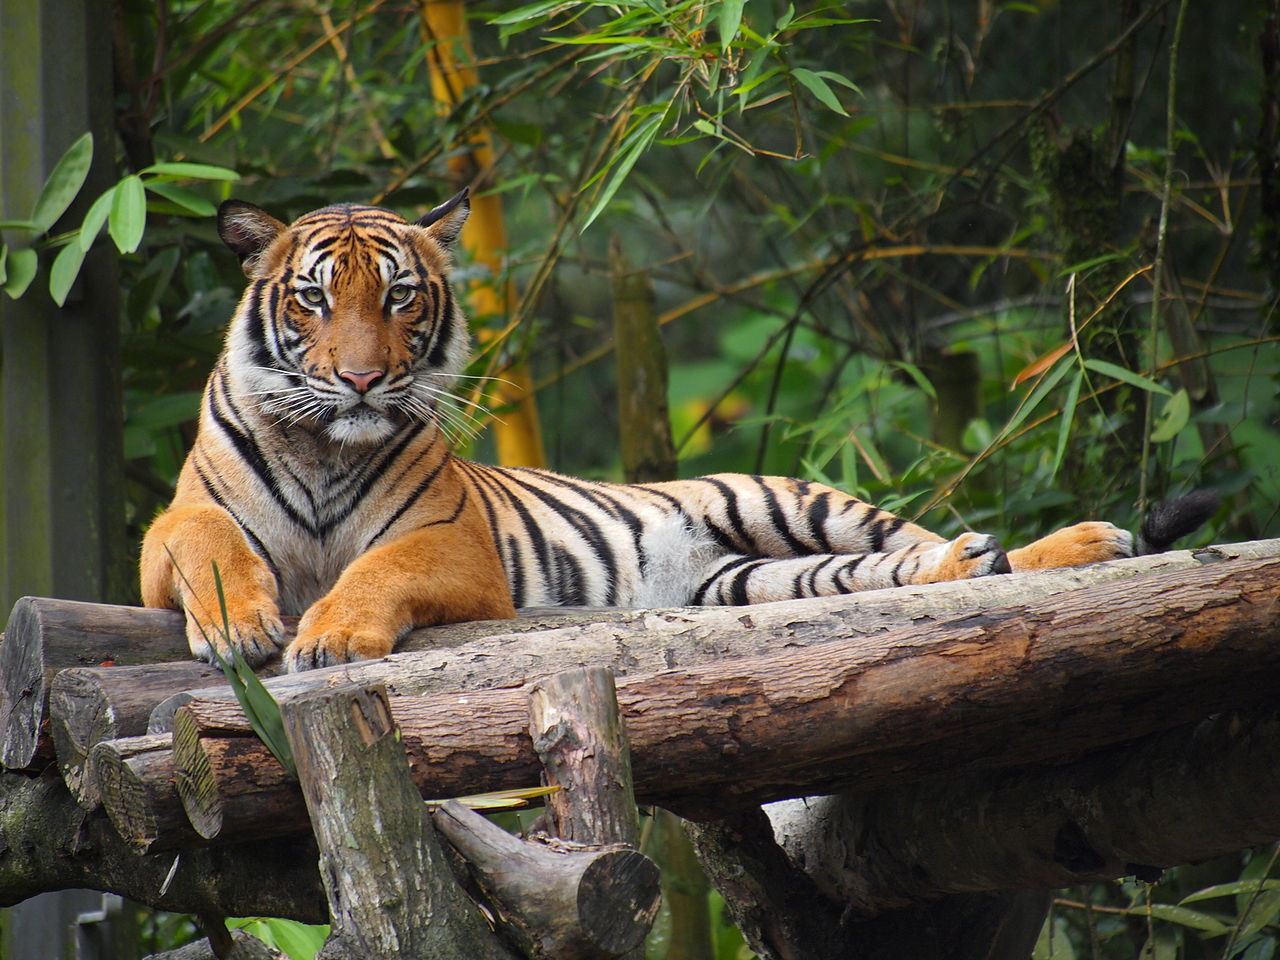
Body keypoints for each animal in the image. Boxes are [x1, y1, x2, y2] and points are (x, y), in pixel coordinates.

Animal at [140, 188, 1155, 673]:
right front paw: (238, 630)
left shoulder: (451, 544)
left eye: (399, 297)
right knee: (899, 568)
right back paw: (983, 559)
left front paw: (331, 639)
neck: (324, 445)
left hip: (793, 500)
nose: (359, 378)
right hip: (751, 581)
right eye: (313, 299)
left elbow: (376, 571)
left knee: (933, 540)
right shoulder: (165, 535)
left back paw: (1085, 542)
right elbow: (206, 540)